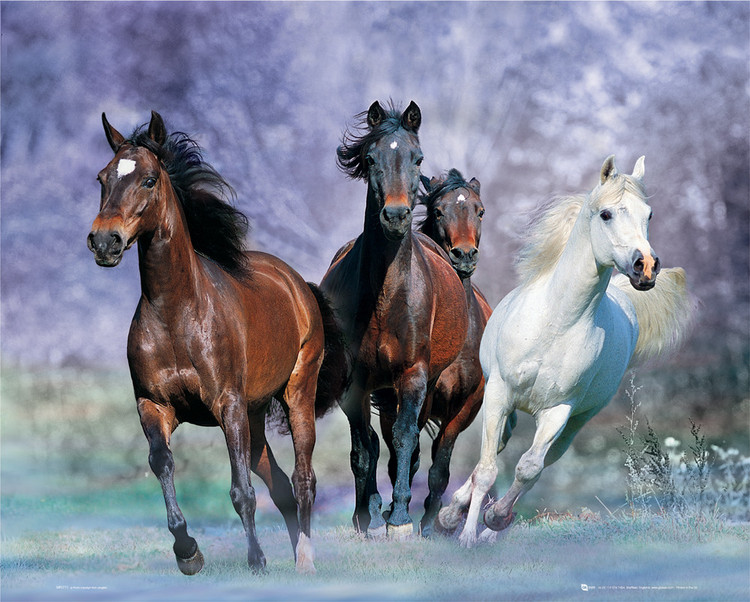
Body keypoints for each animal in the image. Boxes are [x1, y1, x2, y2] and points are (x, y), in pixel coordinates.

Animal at [87, 111, 346, 574]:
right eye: (102, 178)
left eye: (149, 179)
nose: (104, 241)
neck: (176, 315)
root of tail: (299, 285)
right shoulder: (155, 406)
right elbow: (162, 463)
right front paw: (188, 551)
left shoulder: (227, 405)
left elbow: (241, 491)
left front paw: (256, 560)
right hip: (254, 418)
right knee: (281, 485)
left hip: (295, 395)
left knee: (303, 480)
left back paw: (305, 560)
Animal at [320, 101, 469, 537]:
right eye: (371, 159)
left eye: (417, 158)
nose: (397, 215)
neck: (386, 295)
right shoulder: (356, 381)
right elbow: (361, 448)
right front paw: (364, 515)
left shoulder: (413, 374)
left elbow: (404, 438)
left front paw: (400, 518)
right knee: (372, 442)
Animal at [374, 168, 497, 537]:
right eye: (439, 211)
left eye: (480, 211)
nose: (464, 255)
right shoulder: (419, 394)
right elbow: (409, 452)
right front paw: (400, 515)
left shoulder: (466, 406)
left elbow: (440, 465)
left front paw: (432, 522)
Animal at [437, 155, 694, 547]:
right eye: (606, 214)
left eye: (649, 214)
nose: (646, 267)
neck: (556, 323)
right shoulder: (498, 394)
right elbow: (486, 470)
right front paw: (464, 533)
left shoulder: (559, 410)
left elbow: (529, 468)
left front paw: (493, 519)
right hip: (507, 406)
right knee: (496, 450)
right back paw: (454, 516)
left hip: (577, 421)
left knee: (542, 461)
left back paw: (491, 527)